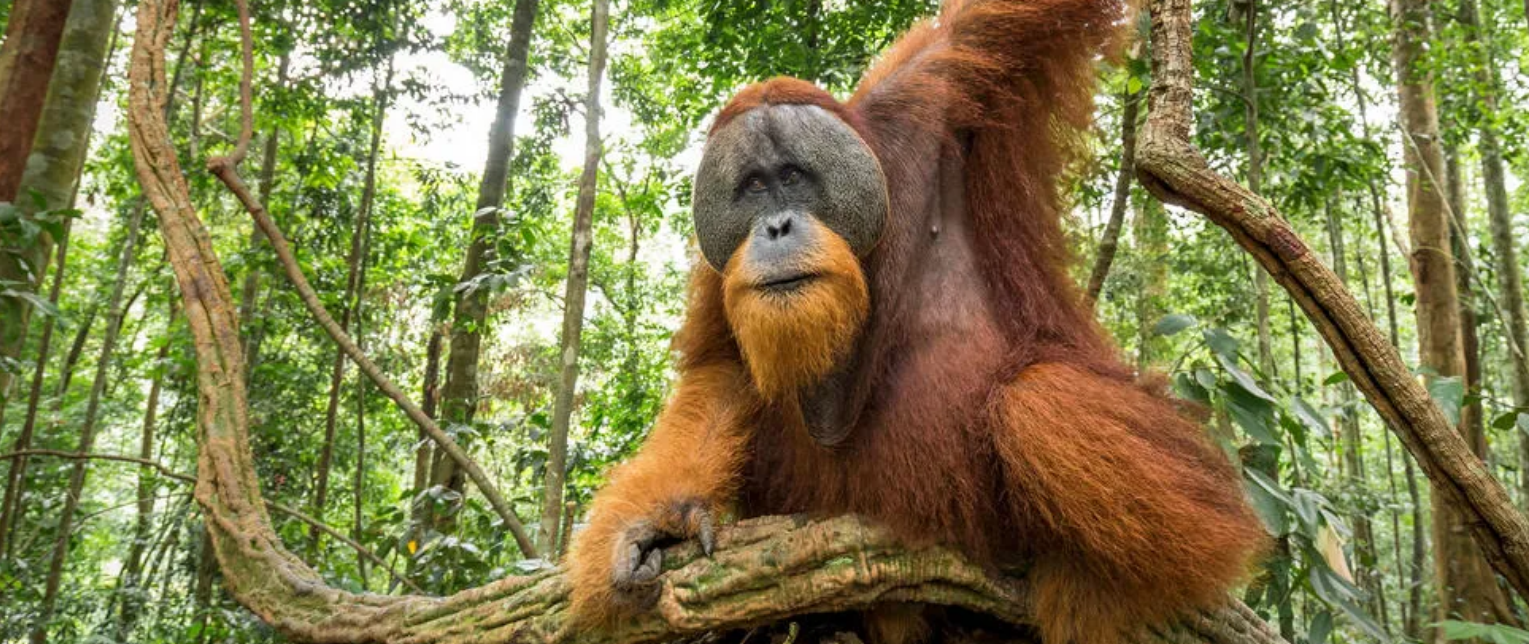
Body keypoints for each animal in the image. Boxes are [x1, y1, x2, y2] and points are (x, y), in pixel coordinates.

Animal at [566, 0, 1267, 642]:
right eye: (755, 188)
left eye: (793, 177)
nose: (775, 227)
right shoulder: (721, 268)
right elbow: (723, 370)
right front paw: (656, 524)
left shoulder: (939, 83)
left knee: (1035, 398)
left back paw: (1100, 590)